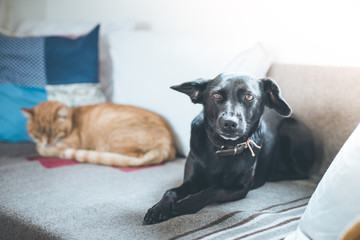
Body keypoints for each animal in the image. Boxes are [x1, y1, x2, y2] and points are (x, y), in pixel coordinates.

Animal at [21, 101, 176, 167]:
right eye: (36, 133)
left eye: (53, 133)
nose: (46, 142)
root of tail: (168, 141)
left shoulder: (68, 144)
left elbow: (41, 150)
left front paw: (43, 148)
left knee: (134, 156)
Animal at [143, 73, 316, 225]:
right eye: (216, 96)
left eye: (249, 97)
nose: (229, 123)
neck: (222, 148)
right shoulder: (191, 181)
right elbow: (170, 191)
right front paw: (159, 208)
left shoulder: (241, 188)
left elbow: (213, 189)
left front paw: (184, 205)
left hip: (289, 131)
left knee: (302, 173)